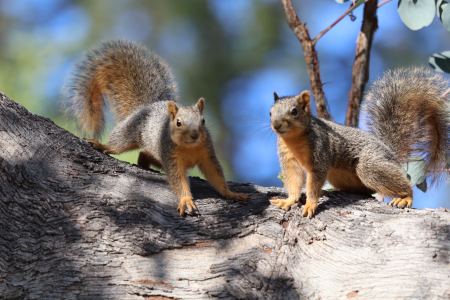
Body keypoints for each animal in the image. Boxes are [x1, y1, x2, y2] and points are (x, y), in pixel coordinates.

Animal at [64, 40, 250, 216]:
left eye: (203, 121)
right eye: (178, 123)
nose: (195, 135)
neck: (189, 147)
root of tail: (144, 107)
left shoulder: (206, 153)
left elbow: (215, 174)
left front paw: (231, 193)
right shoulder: (170, 156)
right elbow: (178, 179)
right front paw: (186, 200)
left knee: (144, 155)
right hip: (130, 132)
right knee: (119, 144)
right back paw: (103, 145)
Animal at [268, 67, 448, 218]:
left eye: (294, 111)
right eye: (270, 112)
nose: (276, 125)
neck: (294, 139)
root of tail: (388, 151)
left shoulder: (320, 150)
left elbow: (314, 183)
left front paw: (310, 204)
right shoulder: (289, 160)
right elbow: (293, 181)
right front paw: (289, 200)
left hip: (370, 165)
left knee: (401, 183)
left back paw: (405, 197)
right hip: (339, 175)